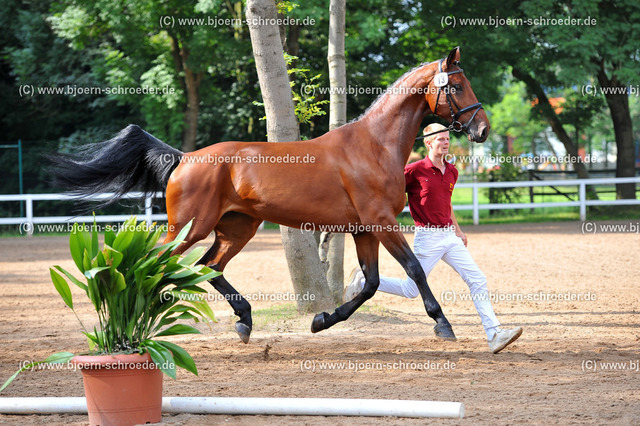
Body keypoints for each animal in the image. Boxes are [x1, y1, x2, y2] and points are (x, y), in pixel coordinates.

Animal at [51, 46, 490, 344]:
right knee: (157, 262)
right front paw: (443, 323)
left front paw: (321, 321)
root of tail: (184, 157)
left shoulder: (364, 229)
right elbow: (414, 270)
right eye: (457, 85)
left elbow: (370, 283)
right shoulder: (381, 224)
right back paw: (137, 314)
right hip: (190, 227)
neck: (373, 146)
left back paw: (244, 321)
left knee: (210, 267)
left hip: (237, 227)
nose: (482, 129)